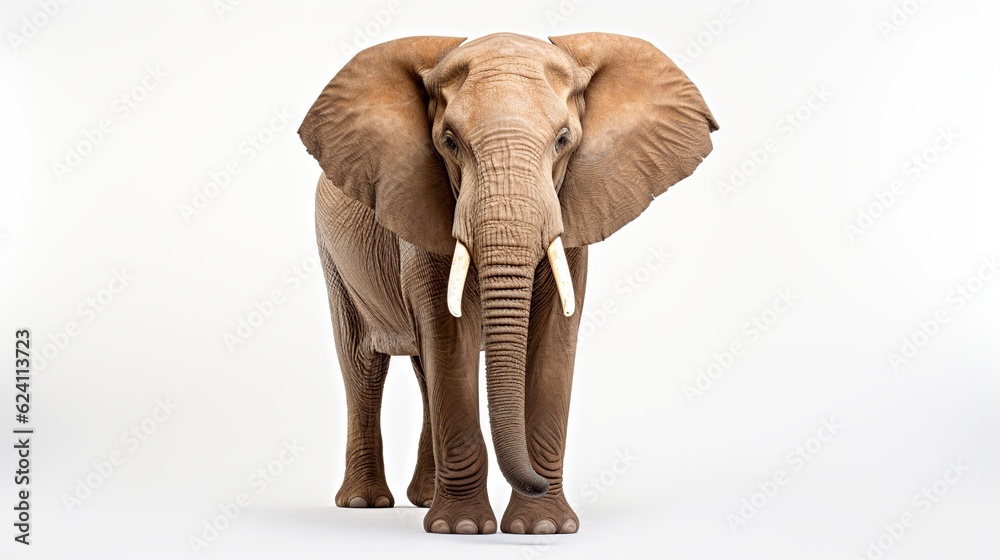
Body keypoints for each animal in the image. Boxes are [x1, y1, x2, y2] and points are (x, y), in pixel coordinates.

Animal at [298, 32, 717, 535]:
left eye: (563, 140)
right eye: (449, 142)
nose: (534, 481)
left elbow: (553, 337)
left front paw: (542, 529)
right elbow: (449, 337)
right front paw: (461, 529)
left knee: (421, 368)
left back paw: (421, 500)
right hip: (332, 255)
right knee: (362, 362)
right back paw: (366, 503)